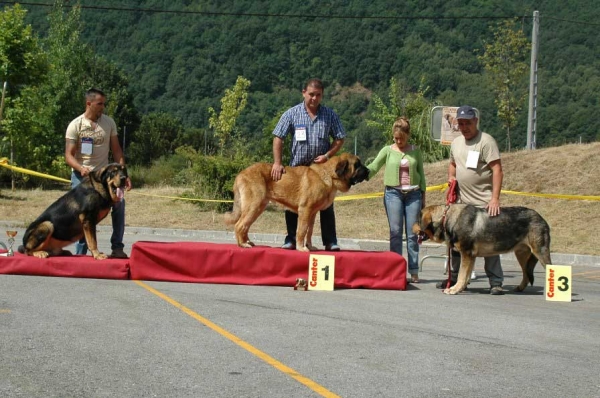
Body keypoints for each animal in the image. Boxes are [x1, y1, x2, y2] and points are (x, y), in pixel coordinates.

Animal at [224, 153, 368, 252]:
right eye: (357, 164)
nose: (369, 171)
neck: (329, 175)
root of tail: (240, 174)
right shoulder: (305, 210)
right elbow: (302, 230)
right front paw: (301, 248)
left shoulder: (313, 213)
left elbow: (309, 231)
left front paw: (310, 246)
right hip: (254, 205)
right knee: (239, 225)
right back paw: (243, 244)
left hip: (258, 207)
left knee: (245, 226)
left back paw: (247, 242)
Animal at [414, 204, 552, 294]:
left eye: (417, 220)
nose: (411, 226)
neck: (446, 219)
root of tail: (542, 218)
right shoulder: (471, 257)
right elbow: (466, 276)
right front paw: (461, 288)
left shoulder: (466, 254)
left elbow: (461, 275)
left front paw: (454, 289)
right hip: (522, 255)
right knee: (526, 274)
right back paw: (520, 288)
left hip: (540, 252)